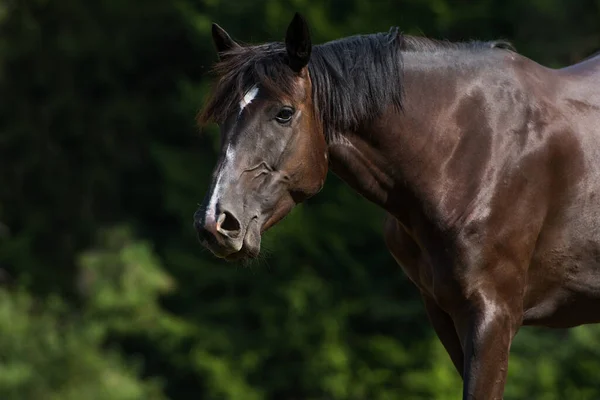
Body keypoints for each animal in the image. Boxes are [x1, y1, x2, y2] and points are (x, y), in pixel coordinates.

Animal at [195, 12, 600, 400]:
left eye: (284, 113)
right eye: (223, 117)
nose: (216, 220)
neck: (471, 148)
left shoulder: (493, 316)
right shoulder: (446, 314)